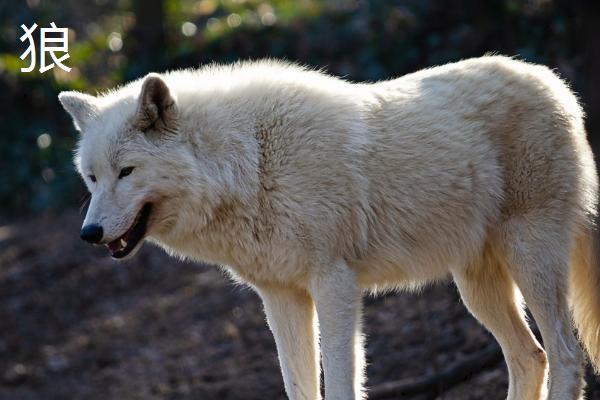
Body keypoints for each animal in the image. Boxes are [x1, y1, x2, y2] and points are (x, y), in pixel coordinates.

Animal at [57, 56, 600, 400]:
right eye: (92, 177)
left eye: (127, 172)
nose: (90, 233)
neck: (251, 163)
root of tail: (555, 82)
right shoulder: (280, 296)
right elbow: (299, 386)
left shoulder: (335, 284)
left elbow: (339, 382)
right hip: (476, 286)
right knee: (531, 357)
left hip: (528, 257)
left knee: (566, 354)